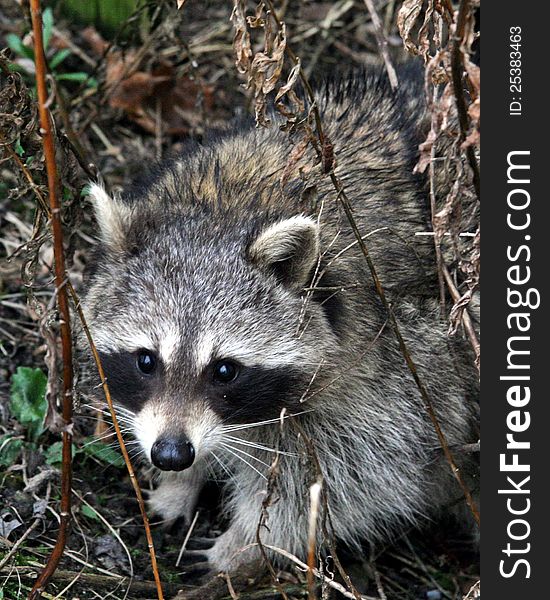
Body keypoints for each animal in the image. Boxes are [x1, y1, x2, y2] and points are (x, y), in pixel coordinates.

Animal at [80, 68, 480, 568]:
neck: (236, 203)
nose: (171, 454)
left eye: (225, 370)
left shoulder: (401, 361)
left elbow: (353, 475)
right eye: (146, 360)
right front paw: (181, 482)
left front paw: (244, 543)